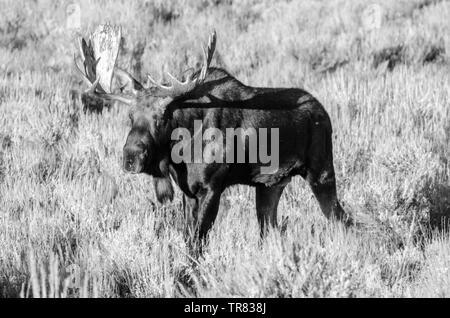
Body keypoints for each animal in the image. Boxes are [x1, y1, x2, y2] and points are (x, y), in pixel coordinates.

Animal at [74, 24, 352, 243]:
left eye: (161, 118)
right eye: (130, 116)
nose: (131, 157)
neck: (180, 152)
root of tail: (324, 113)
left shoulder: (212, 187)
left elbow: (197, 242)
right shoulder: (188, 192)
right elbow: (188, 237)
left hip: (321, 172)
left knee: (342, 220)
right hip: (269, 186)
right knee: (270, 231)